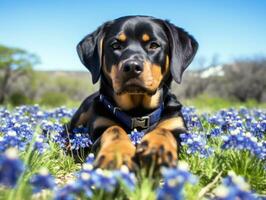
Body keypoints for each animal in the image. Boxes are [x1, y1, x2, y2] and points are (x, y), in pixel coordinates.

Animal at [67, 14, 198, 170]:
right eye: (115, 45)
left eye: (154, 45)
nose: (132, 67)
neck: (138, 113)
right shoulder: (101, 125)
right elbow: (115, 130)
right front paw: (118, 154)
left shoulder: (176, 125)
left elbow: (163, 130)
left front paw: (157, 149)